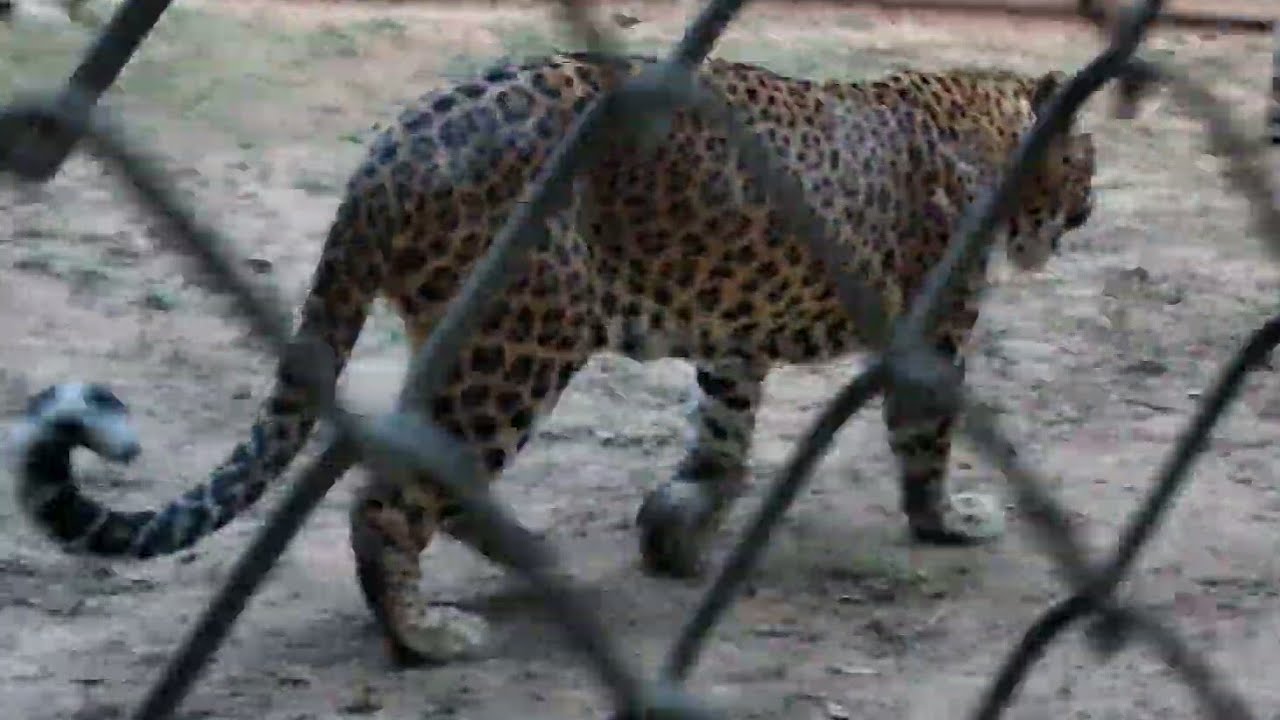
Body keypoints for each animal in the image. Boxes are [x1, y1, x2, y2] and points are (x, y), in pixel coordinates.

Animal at [8, 51, 1096, 667]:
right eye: (1085, 159)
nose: (1092, 207)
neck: (983, 116)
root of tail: (384, 156)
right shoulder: (936, 325)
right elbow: (925, 433)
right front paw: (948, 519)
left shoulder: (734, 336)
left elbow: (723, 430)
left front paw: (678, 528)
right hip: (521, 337)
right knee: (389, 499)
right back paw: (423, 635)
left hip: (473, 338)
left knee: (432, 478)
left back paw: (529, 559)